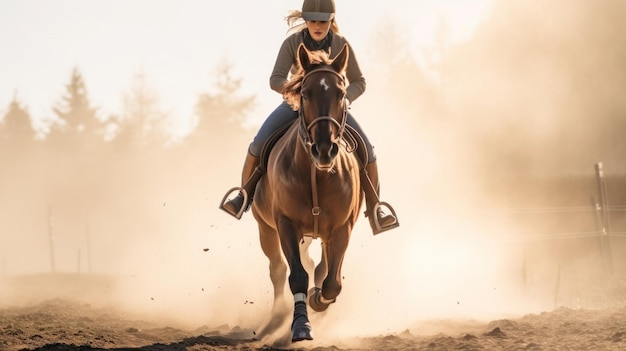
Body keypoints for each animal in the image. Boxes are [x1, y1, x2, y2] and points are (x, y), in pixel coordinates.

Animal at [251, 43, 360, 344]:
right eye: (305, 93)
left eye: (341, 93)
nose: (324, 150)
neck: (317, 175)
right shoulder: (285, 224)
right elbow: (297, 275)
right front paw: (301, 324)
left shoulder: (341, 228)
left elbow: (332, 282)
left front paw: (317, 299)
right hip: (266, 229)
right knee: (278, 270)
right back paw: (277, 316)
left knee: (321, 268)